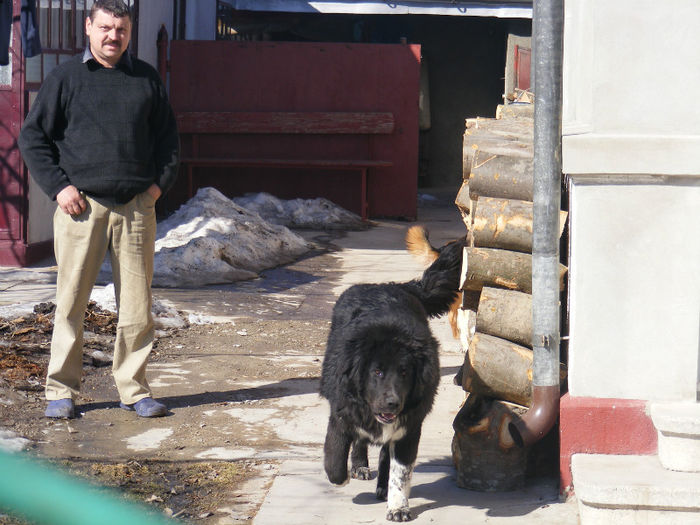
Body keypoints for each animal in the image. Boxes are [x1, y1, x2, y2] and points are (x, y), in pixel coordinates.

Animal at [322, 233, 464, 520]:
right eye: (376, 372)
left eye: (405, 372)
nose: (392, 403)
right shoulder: (342, 413)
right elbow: (335, 460)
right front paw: (343, 476)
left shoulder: (409, 426)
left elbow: (400, 472)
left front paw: (398, 506)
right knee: (360, 442)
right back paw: (360, 466)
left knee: (386, 457)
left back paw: (380, 486)